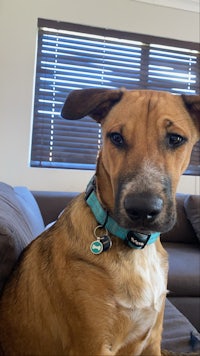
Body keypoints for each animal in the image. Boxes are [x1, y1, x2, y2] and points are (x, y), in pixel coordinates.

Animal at [0, 89, 199, 356]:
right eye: (116, 138)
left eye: (175, 139)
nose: (142, 209)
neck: (135, 248)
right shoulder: (93, 344)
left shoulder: (152, 341)